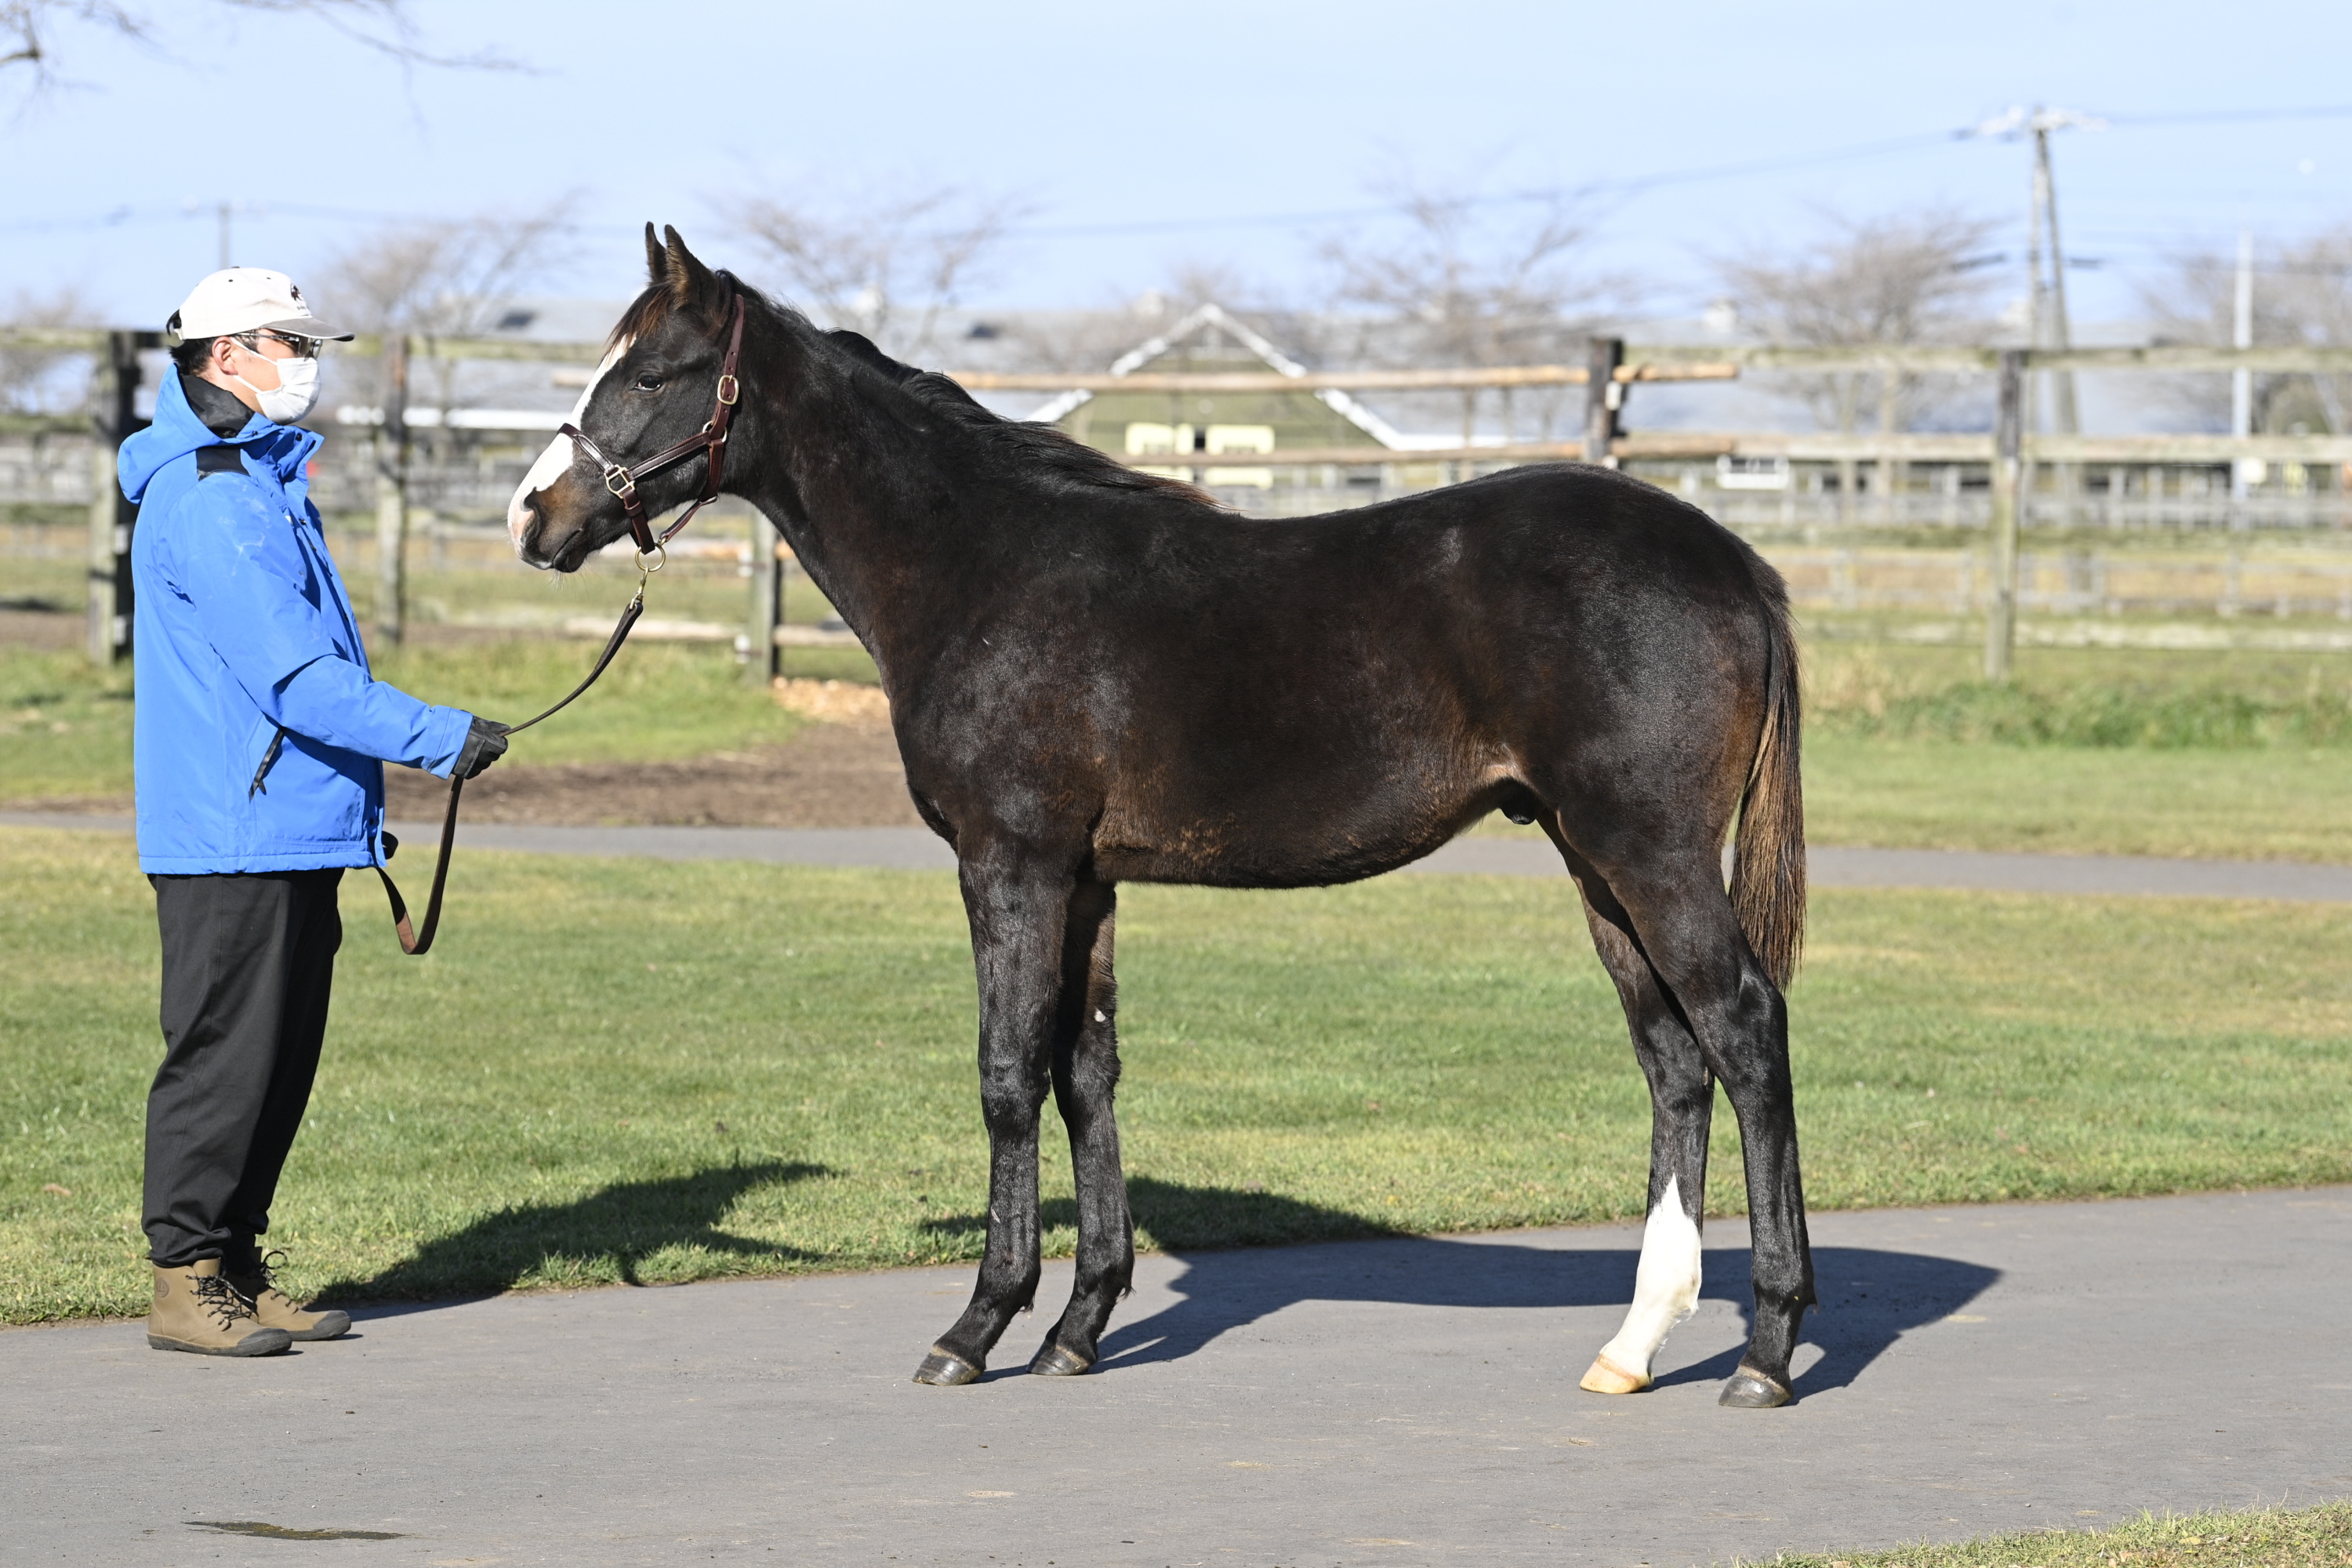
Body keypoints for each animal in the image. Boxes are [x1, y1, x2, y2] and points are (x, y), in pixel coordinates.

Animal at [508, 226, 1814, 1409]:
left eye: (653, 373)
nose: (534, 517)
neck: (982, 567)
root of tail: (1740, 566)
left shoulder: (1012, 866)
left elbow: (1006, 1074)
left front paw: (977, 1327)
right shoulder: (1085, 881)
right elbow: (1085, 1075)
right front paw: (1077, 1327)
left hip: (1649, 854)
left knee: (1744, 1031)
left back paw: (1765, 1349)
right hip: (1594, 862)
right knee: (1673, 1061)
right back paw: (1635, 1345)